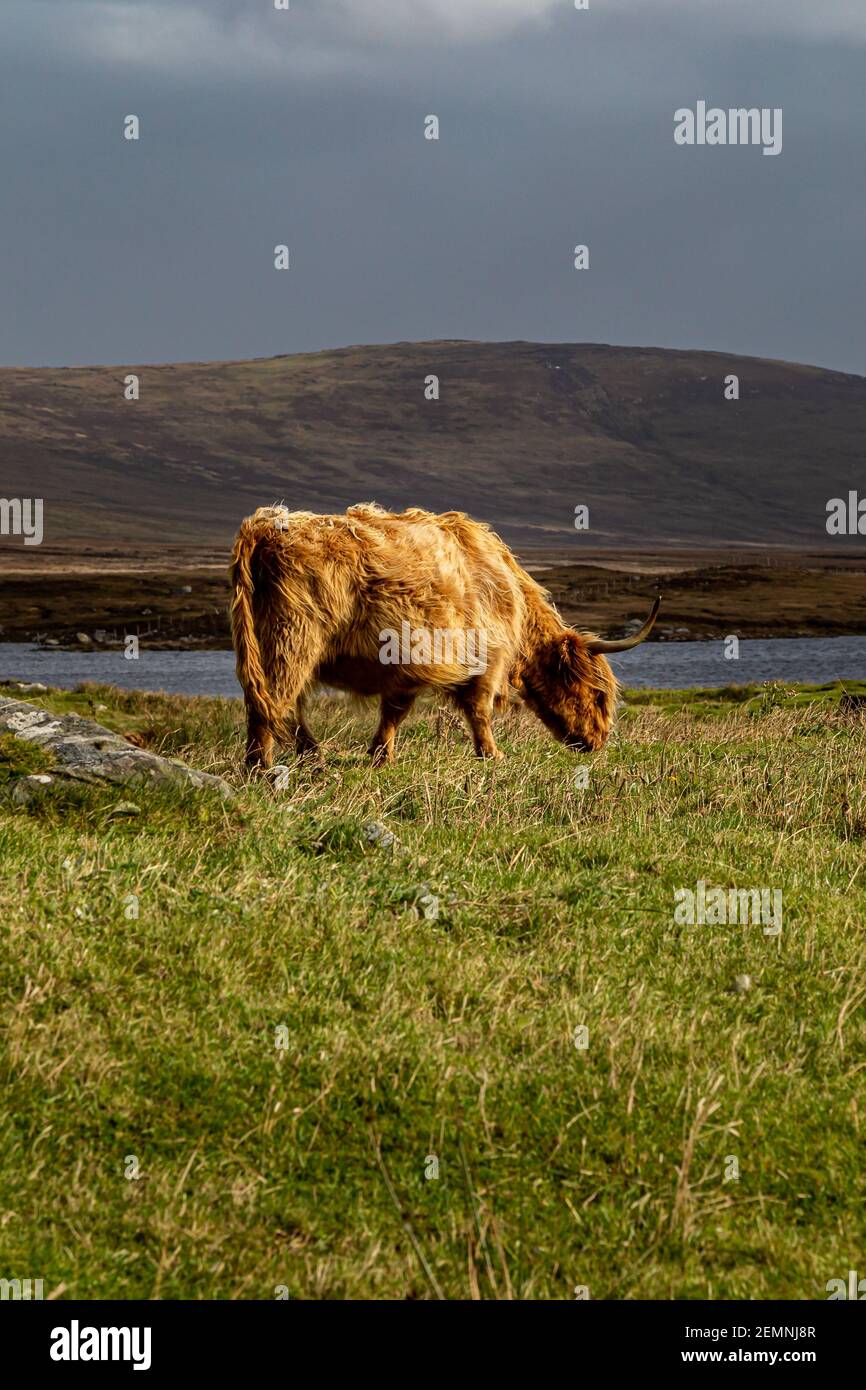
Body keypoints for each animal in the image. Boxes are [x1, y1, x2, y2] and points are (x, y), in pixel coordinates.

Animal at [226, 505, 661, 772]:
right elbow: (479, 711)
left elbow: (394, 712)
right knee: (272, 701)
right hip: (291, 638)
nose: (599, 741)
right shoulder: (487, 659)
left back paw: (311, 755)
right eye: (598, 694)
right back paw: (263, 767)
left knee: (285, 702)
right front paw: (493, 756)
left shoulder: (407, 668)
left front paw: (381, 756)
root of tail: (263, 527)